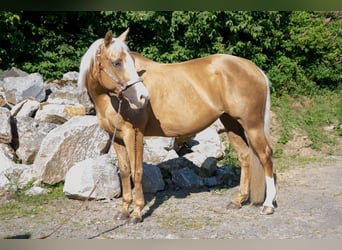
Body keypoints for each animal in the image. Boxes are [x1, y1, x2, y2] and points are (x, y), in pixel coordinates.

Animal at [78, 28, 278, 223]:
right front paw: (123, 211)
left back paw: (268, 205)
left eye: (130, 62)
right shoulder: (117, 138)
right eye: (117, 62)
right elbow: (126, 172)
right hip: (231, 123)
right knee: (245, 156)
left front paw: (136, 213)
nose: (143, 97)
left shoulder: (134, 134)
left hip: (252, 125)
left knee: (265, 155)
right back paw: (238, 200)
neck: (112, 100)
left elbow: (137, 171)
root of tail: (254, 68)